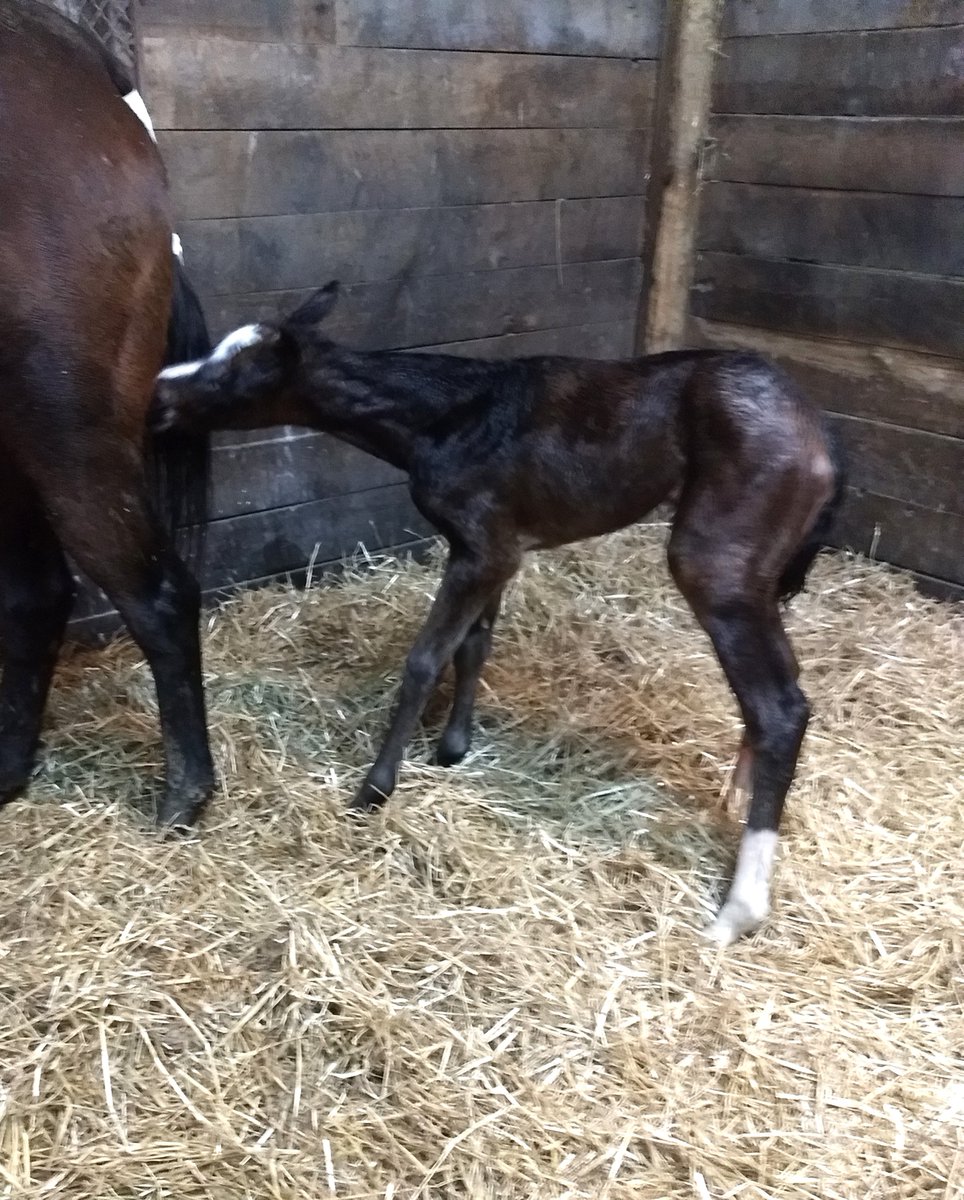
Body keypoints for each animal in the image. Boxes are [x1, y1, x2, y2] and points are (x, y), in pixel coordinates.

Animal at [151, 283, 844, 944]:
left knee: (779, 705)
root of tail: (821, 443)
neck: (442, 419)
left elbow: (425, 658)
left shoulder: (482, 547)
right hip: (754, 574)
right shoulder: (496, 548)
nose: (158, 392)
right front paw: (452, 748)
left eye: (235, 372)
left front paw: (373, 790)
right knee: (780, 689)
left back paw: (739, 909)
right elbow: (474, 644)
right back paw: (734, 801)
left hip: (715, 559)